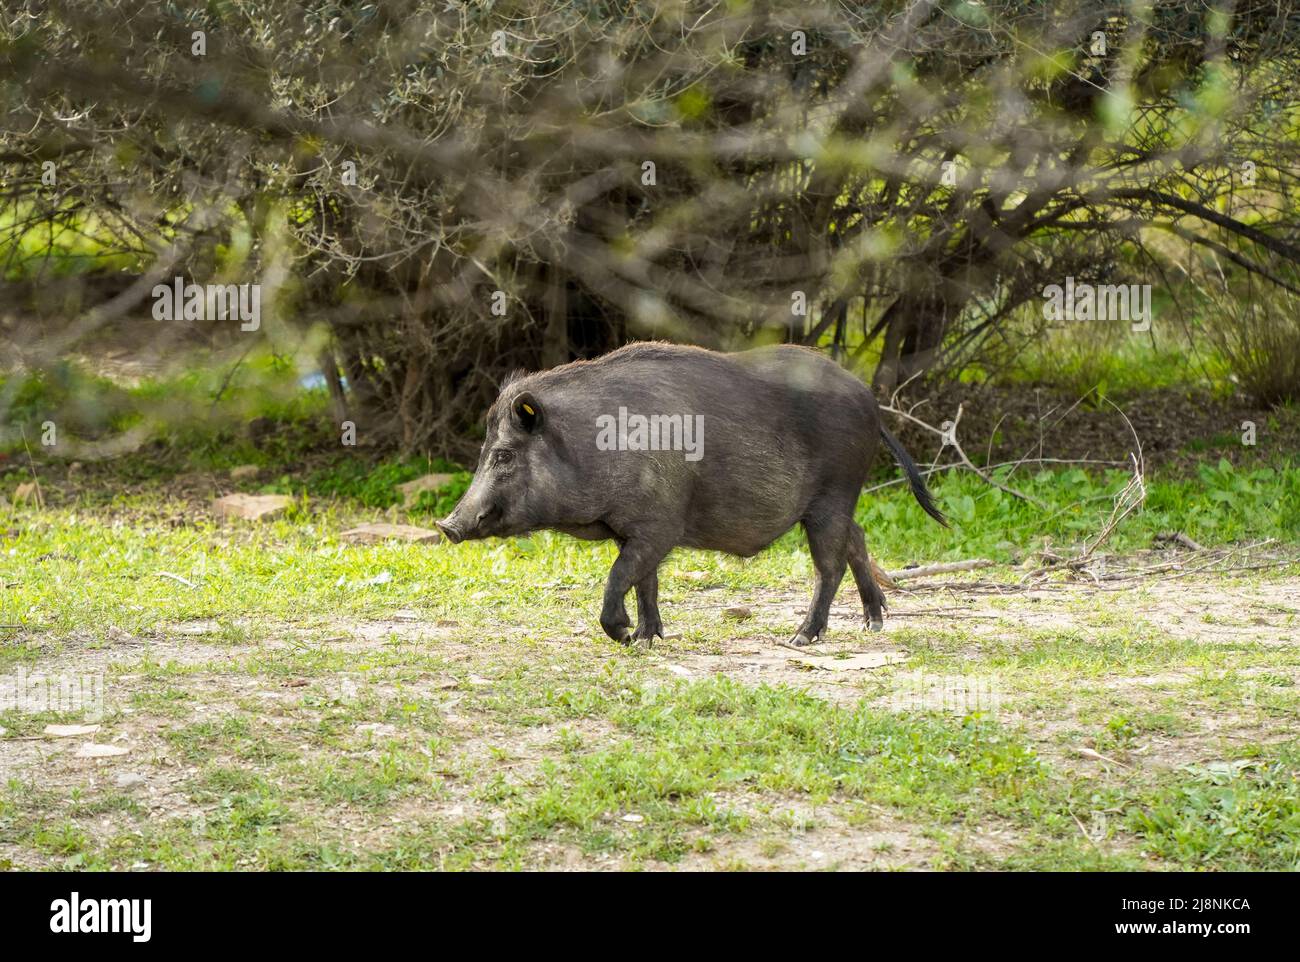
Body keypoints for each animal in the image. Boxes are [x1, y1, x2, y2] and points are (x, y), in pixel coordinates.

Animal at [436, 343, 946, 650]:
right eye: (484, 452)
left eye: (503, 455)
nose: (447, 526)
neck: (592, 446)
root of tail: (870, 400)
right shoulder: (634, 530)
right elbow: (645, 582)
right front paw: (648, 638)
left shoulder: (659, 523)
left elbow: (620, 575)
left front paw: (624, 636)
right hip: (835, 503)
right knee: (856, 539)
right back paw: (873, 623)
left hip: (833, 494)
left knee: (830, 564)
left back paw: (800, 639)